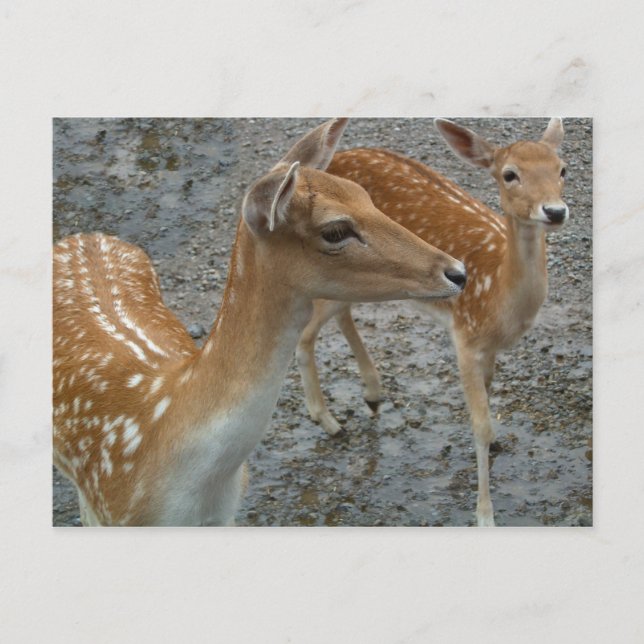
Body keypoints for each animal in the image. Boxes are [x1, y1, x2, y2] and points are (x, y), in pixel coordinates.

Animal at [53, 118, 467, 526]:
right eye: (335, 230)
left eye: (365, 195)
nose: (457, 271)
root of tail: (83, 235)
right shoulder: (109, 509)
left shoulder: (226, 515)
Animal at [295, 118, 569, 527]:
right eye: (510, 174)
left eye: (562, 169)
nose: (554, 211)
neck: (498, 298)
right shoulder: (464, 336)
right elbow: (479, 425)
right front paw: (484, 516)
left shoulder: (487, 347)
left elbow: (488, 398)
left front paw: (498, 444)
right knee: (305, 334)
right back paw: (327, 420)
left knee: (341, 314)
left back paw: (373, 393)